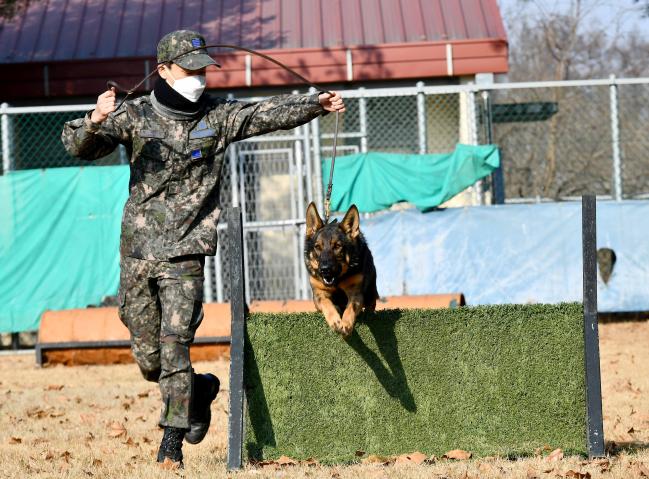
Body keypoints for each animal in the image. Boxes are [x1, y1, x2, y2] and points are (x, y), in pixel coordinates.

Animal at [306, 202, 380, 338]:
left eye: (337, 246)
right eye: (317, 247)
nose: (324, 269)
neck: (337, 281)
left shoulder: (355, 292)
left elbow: (350, 308)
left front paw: (346, 324)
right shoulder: (318, 293)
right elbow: (326, 303)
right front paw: (335, 320)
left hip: (370, 293)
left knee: (370, 305)